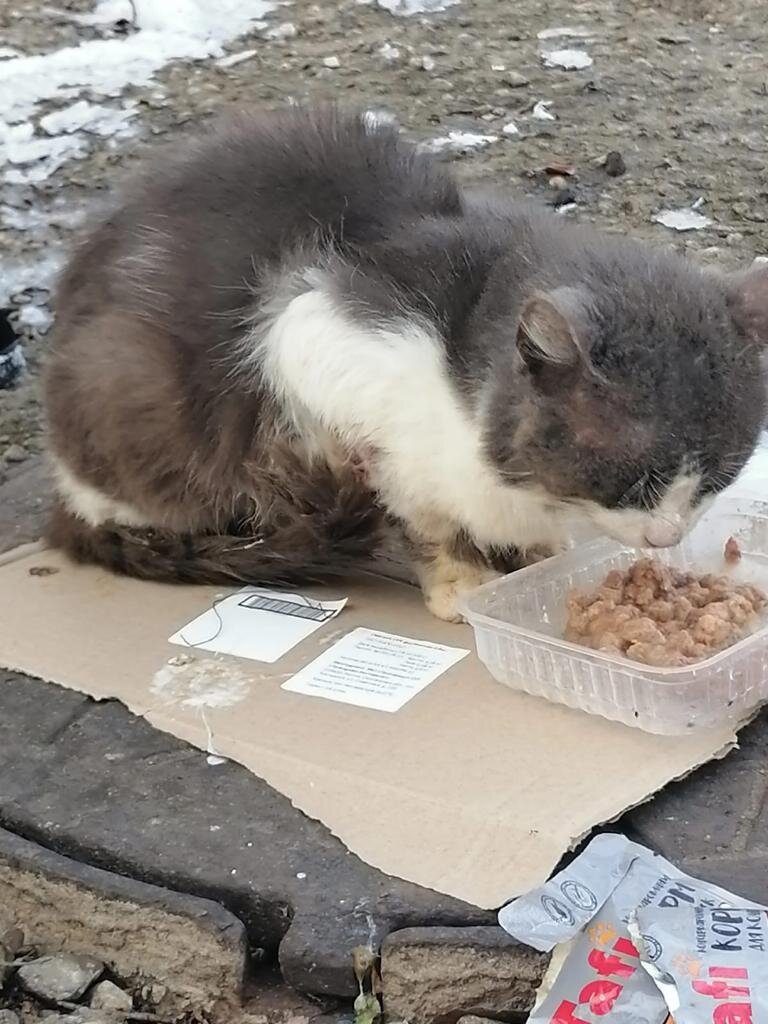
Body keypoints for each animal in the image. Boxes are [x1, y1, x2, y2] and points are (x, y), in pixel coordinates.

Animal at [43, 108, 768, 622]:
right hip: (134, 393)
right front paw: (463, 583)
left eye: (716, 478)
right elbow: (424, 518)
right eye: (633, 481)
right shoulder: (314, 338)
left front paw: (536, 556)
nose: (666, 536)